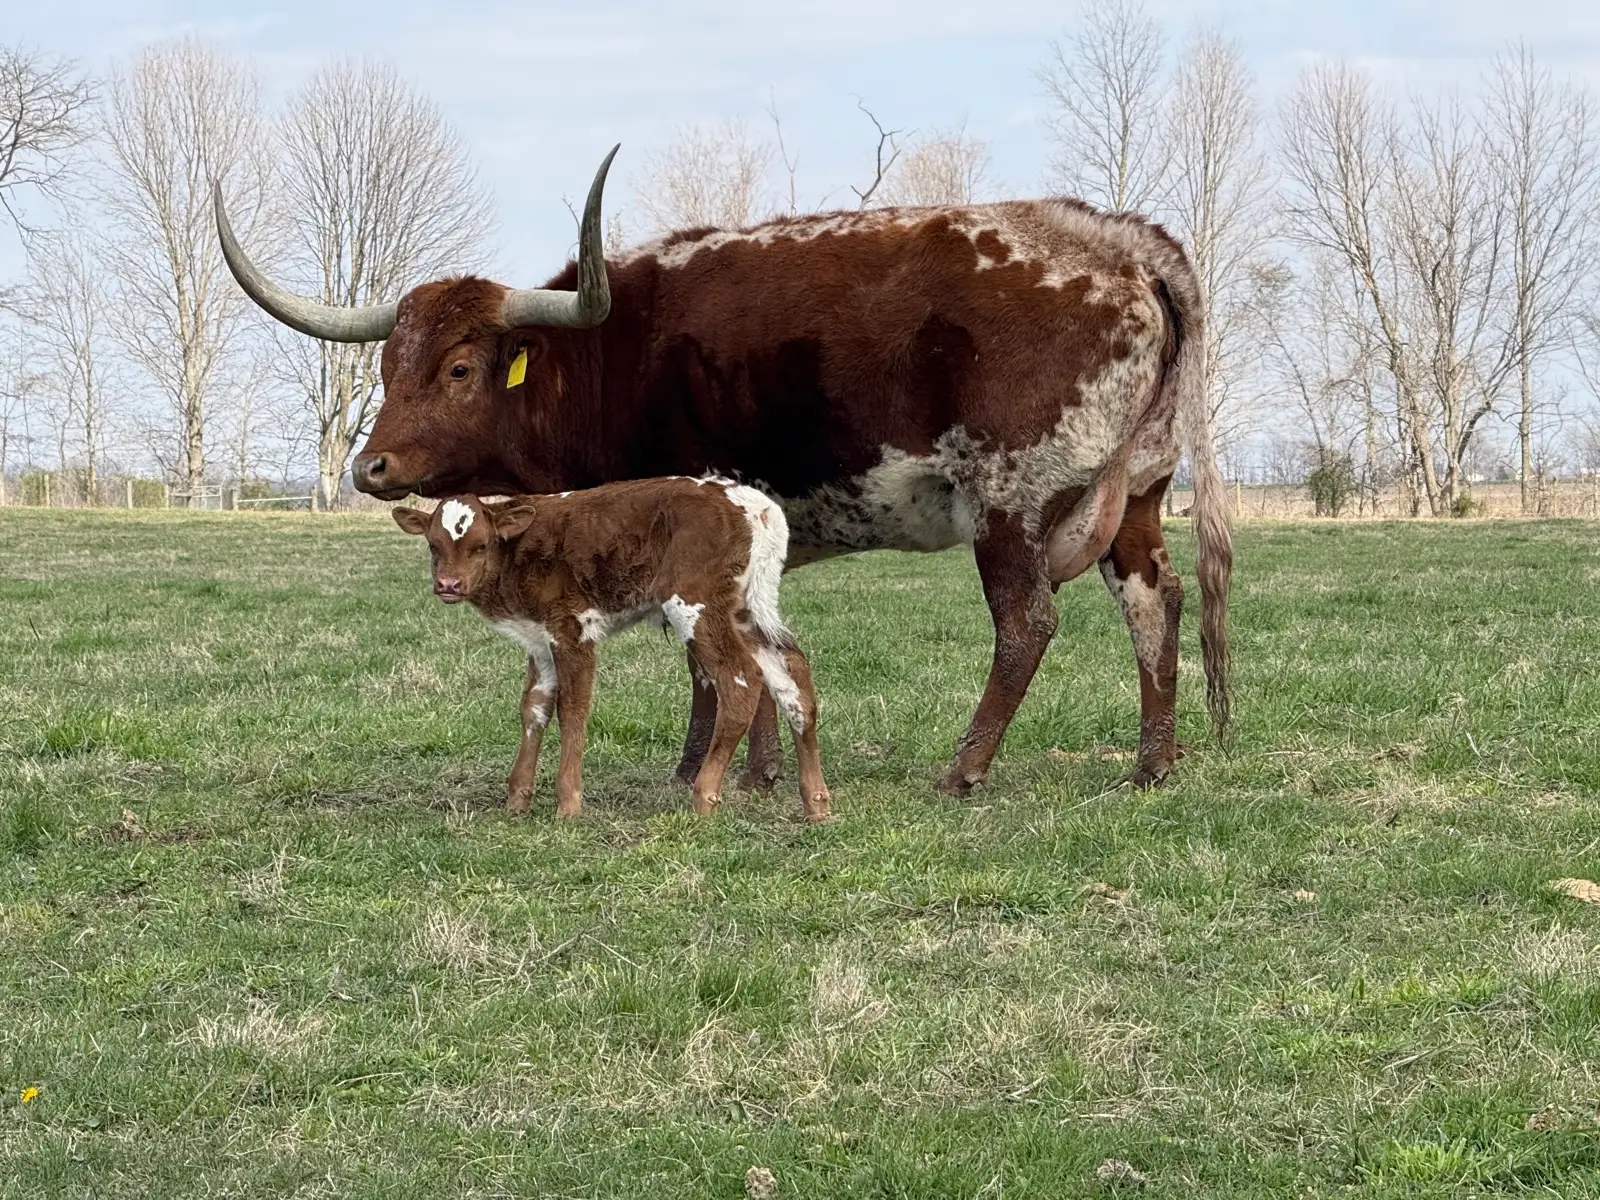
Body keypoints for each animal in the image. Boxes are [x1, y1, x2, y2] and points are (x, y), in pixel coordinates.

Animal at [391, 479, 831, 822]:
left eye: (481, 545)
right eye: (432, 545)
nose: (448, 584)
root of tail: (755, 504)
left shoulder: (572, 630)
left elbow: (572, 710)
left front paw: (568, 804)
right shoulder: (539, 639)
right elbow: (533, 708)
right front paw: (517, 800)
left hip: (694, 600)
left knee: (739, 680)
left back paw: (705, 796)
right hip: (746, 608)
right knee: (793, 677)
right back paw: (816, 802)